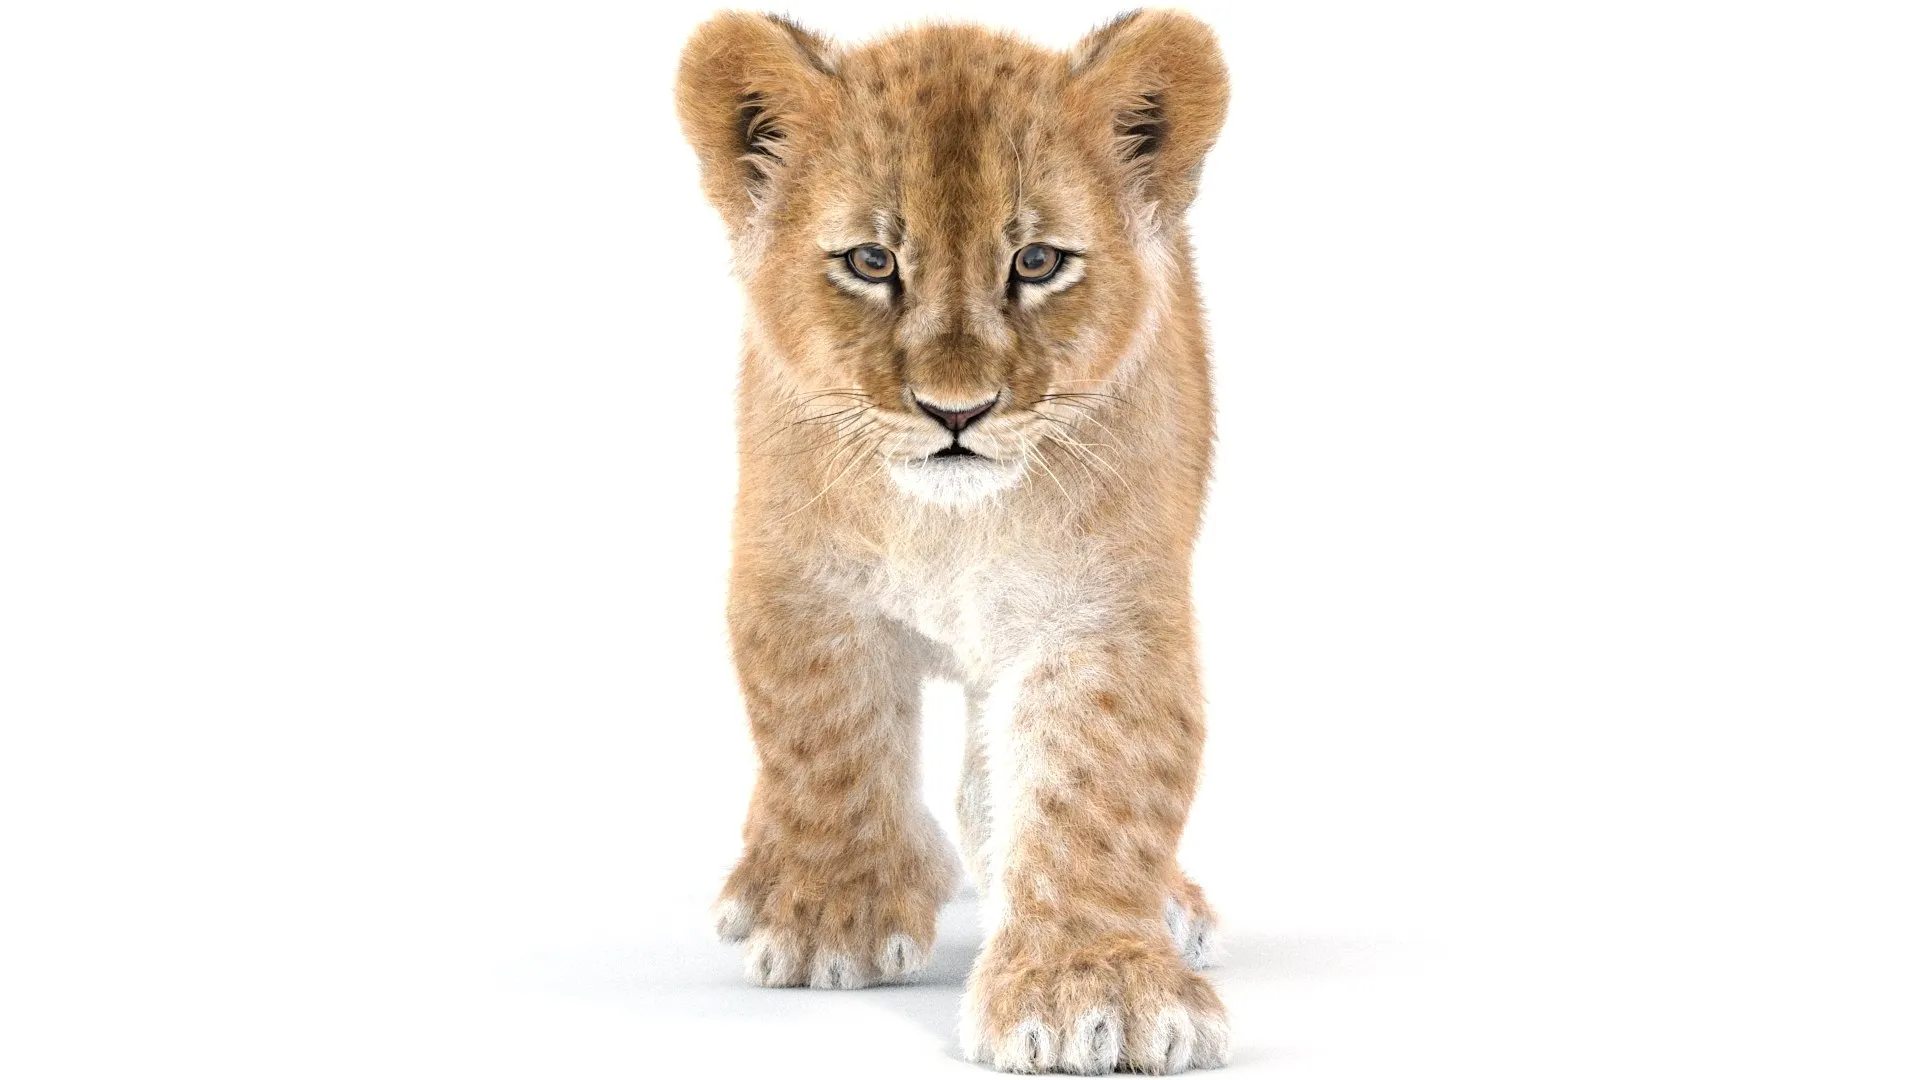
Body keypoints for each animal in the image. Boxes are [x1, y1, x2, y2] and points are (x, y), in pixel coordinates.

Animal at [676, 10, 1232, 1073]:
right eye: (871, 262)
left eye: (1038, 263)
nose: (955, 411)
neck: (954, 524)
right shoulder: (800, 586)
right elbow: (827, 742)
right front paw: (831, 922)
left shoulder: (1102, 614)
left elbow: (1095, 785)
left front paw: (1094, 992)